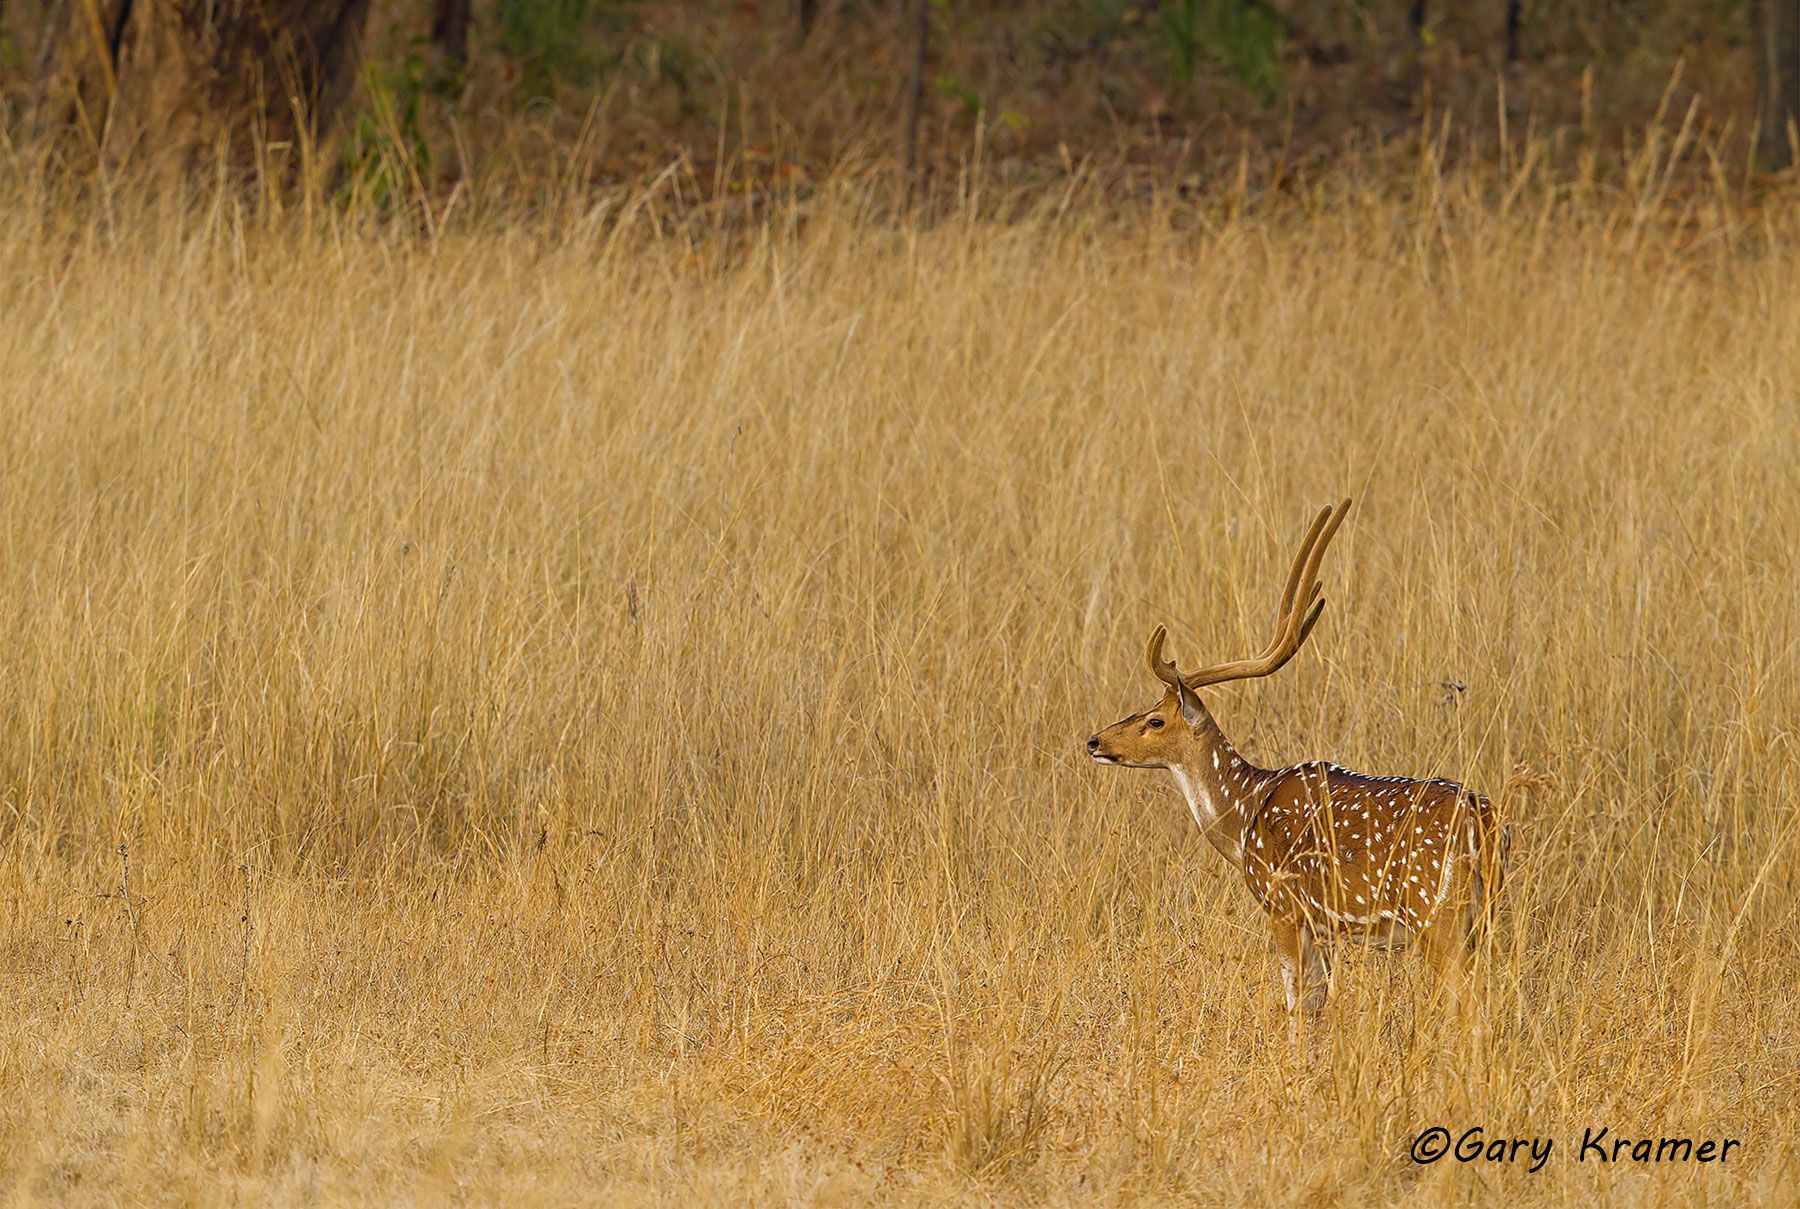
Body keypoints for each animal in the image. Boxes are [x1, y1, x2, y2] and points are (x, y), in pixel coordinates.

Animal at [1085, 499, 1509, 1037]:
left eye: (1155, 720)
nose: (1095, 740)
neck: (1242, 818)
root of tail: (1488, 824)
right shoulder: (1322, 926)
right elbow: (1317, 1001)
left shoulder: (1283, 904)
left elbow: (1297, 1003)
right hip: (1483, 918)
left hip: (1437, 912)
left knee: (1471, 1009)